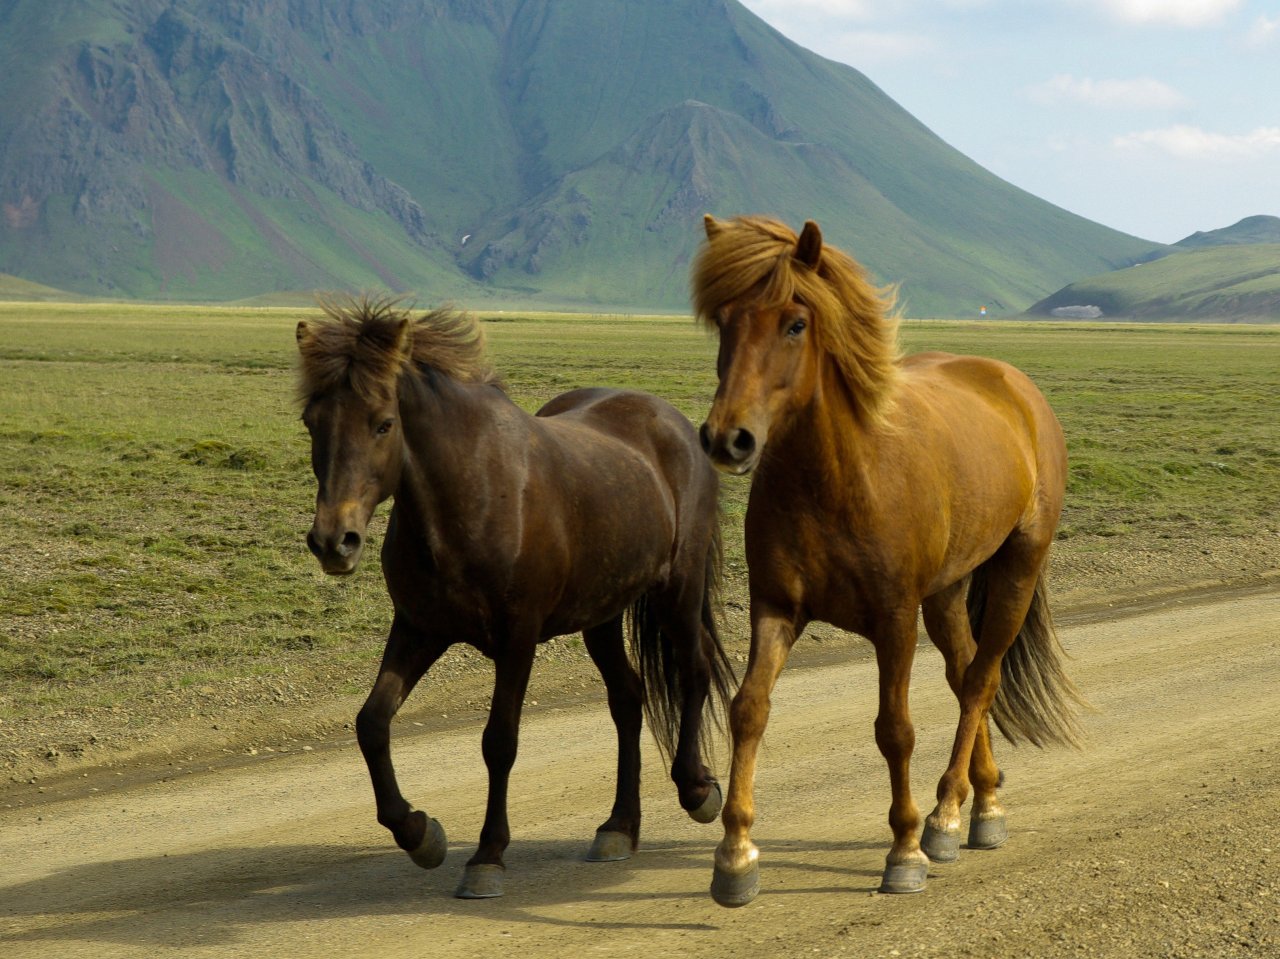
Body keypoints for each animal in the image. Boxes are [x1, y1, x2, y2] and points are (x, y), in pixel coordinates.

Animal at [293, 297, 732, 896]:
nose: (334, 541)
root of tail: (672, 421)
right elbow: (372, 723)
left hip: (678, 592)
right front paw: (418, 833)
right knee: (627, 698)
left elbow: (499, 742)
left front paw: (487, 856)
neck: (469, 496)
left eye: (383, 423)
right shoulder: (418, 628)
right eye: (311, 423)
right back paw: (619, 827)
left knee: (692, 671)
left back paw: (697, 790)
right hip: (601, 614)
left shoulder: (517, 639)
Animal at [696, 215, 1085, 906]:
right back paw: (982, 804)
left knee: (981, 680)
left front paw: (905, 847)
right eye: (724, 320)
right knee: (964, 673)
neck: (837, 478)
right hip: (948, 592)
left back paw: (946, 816)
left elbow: (894, 729)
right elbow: (748, 710)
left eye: (795, 324)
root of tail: (1014, 384)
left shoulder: (894, 619)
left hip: (1016, 568)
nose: (727, 438)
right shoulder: (777, 608)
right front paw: (736, 855)